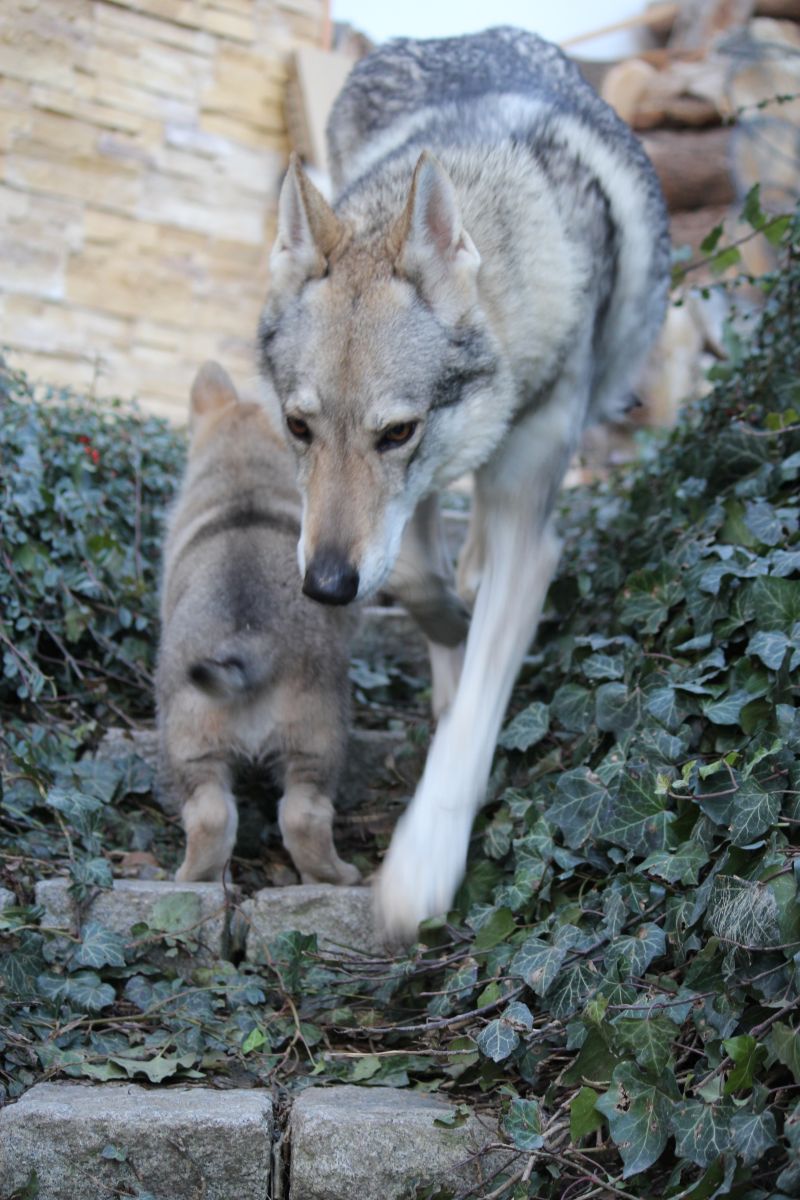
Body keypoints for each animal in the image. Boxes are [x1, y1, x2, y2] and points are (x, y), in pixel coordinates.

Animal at [155, 360, 359, 888]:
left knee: (214, 816)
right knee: (303, 815)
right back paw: (339, 876)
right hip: (317, 744)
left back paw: (193, 878)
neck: (240, 467)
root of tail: (249, 644)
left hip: (194, 747)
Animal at [256, 23, 671, 931]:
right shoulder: (403, 512)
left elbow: (480, 701)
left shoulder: (524, 526)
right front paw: (447, 630)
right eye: (300, 428)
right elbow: (418, 584)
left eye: (396, 432)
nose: (327, 588)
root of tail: (468, 31)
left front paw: (422, 864)